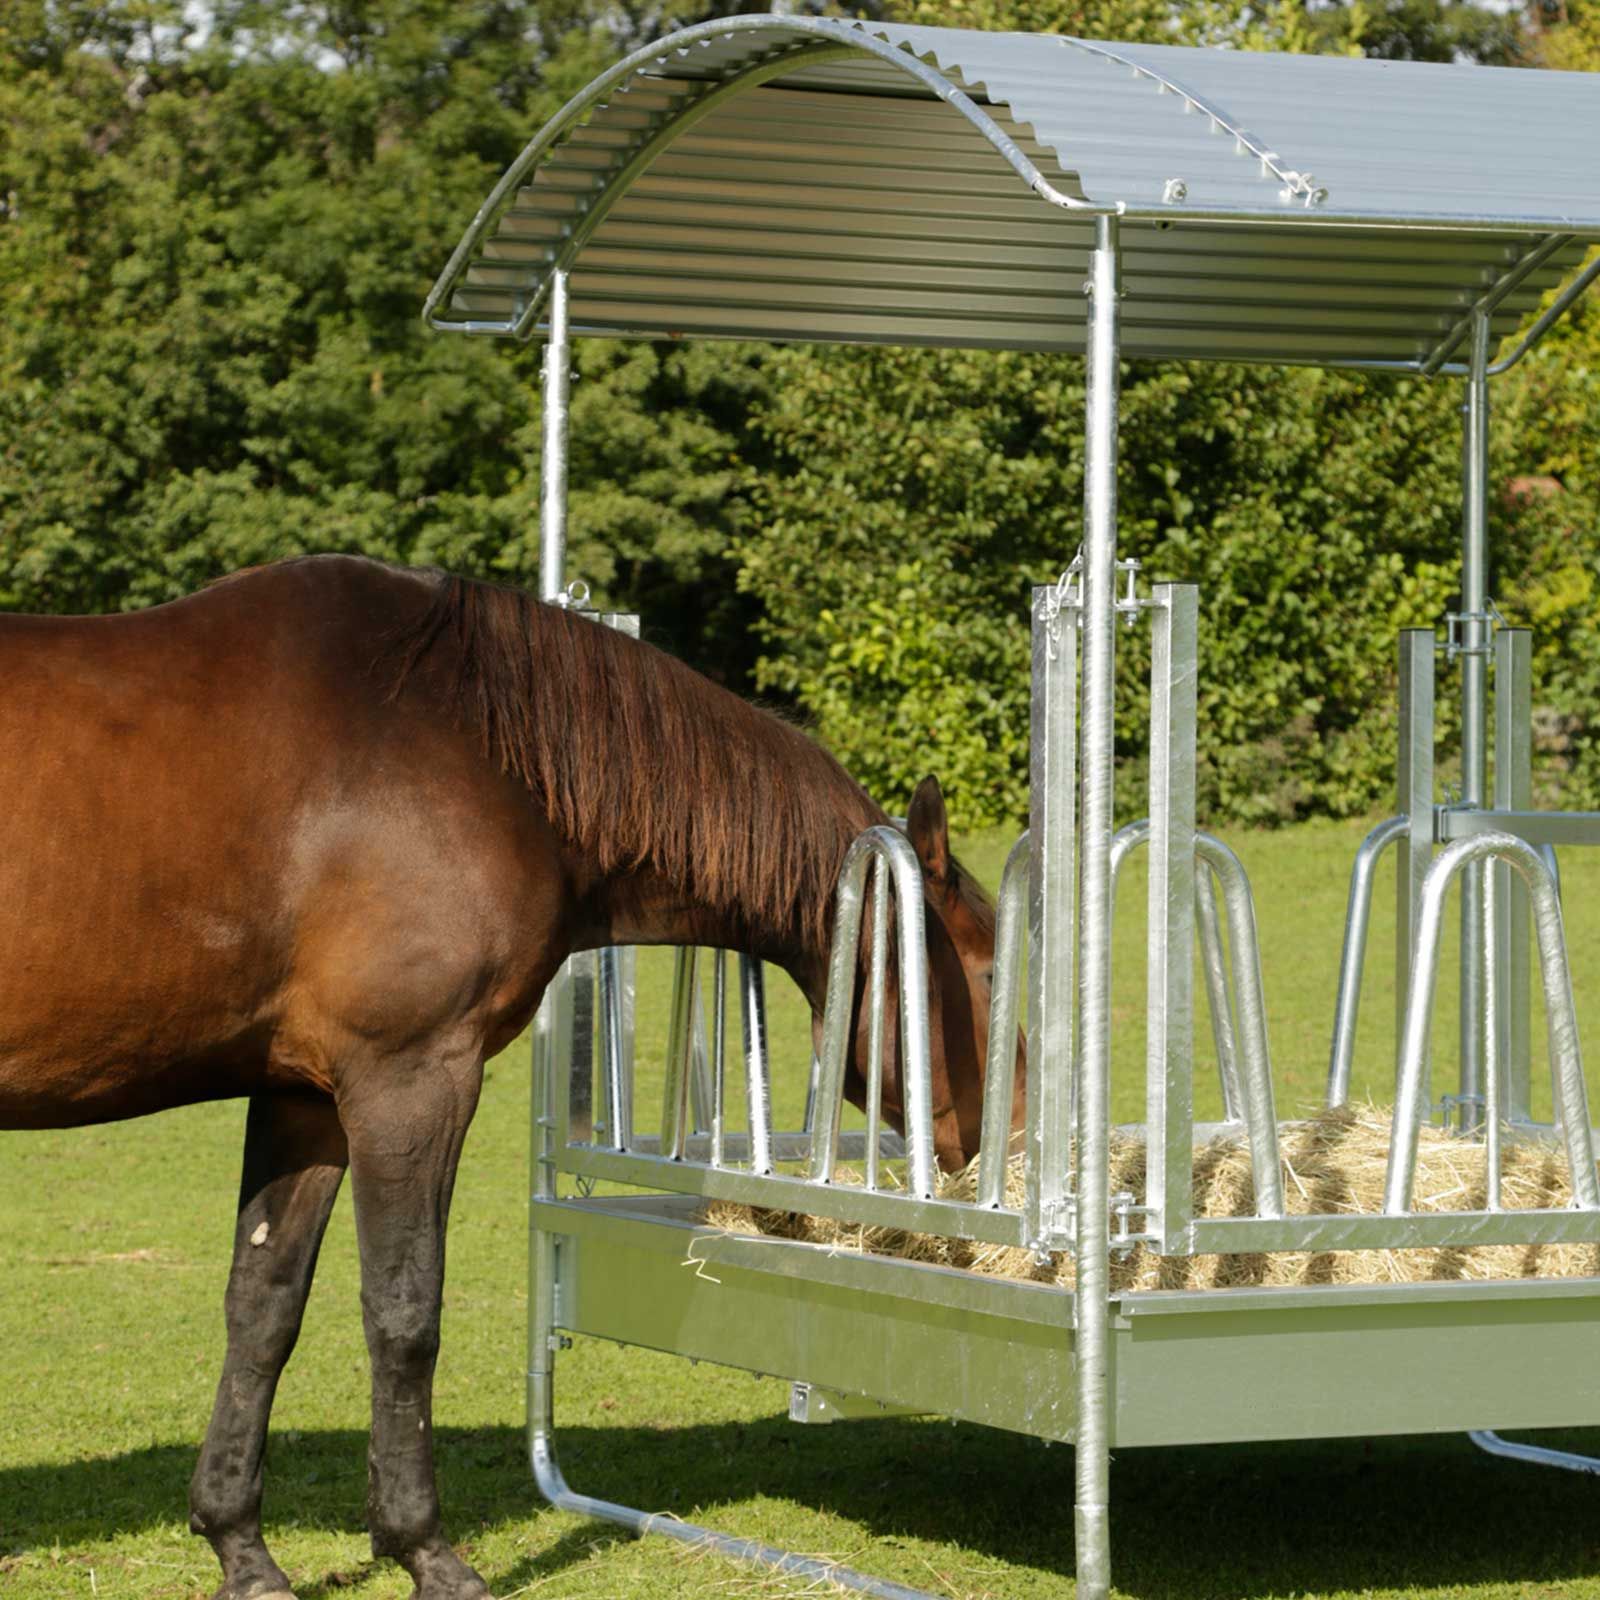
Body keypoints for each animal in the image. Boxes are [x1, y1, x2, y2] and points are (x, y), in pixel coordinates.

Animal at [0, 554, 1018, 1600]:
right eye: (988, 972)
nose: (1004, 1144)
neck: (473, 744)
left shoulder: (304, 1097)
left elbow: (263, 1308)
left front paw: (240, 1548)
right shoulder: (410, 1080)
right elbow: (404, 1311)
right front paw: (426, 1551)